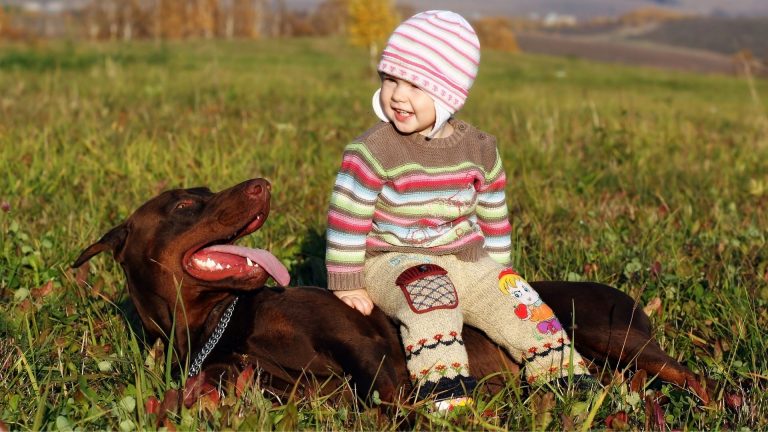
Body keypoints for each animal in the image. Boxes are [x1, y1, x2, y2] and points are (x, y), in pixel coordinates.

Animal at [73, 177, 712, 404]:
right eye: (185, 205)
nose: (261, 184)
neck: (224, 324)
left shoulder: (364, 345)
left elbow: (390, 396)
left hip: (611, 334)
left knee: (694, 376)